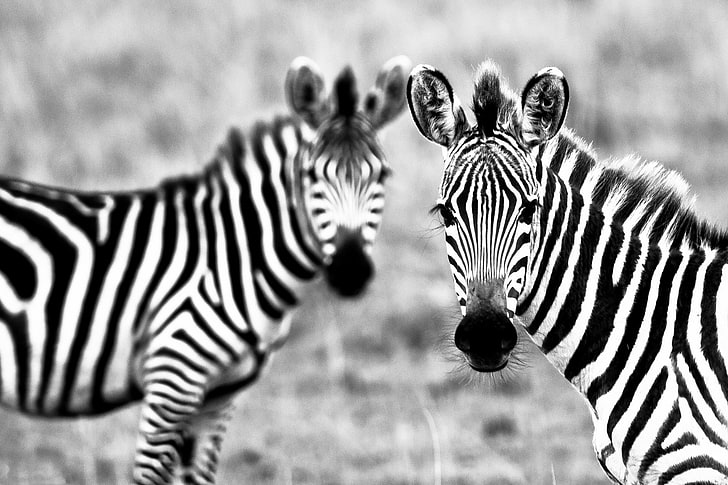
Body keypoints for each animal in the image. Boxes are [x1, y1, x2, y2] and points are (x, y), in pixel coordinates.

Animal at [0, 54, 410, 482]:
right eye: (311, 175)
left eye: (382, 175)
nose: (351, 272)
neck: (237, 256)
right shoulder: (172, 380)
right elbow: (150, 474)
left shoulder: (218, 397)